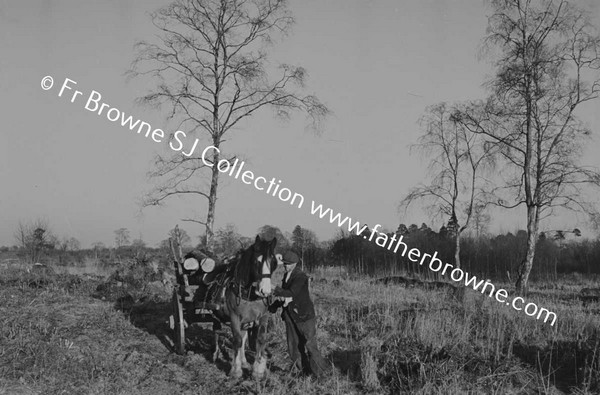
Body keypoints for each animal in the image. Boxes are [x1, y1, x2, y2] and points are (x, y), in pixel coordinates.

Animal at [213, 235, 278, 380]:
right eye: (256, 261)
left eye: (273, 262)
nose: (265, 291)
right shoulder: (234, 317)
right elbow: (237, 340)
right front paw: (235, 371)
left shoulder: (263, 316)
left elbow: (259, 339)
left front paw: (258, 371)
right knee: (217, 331)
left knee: (243, 337)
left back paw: (243, 362)